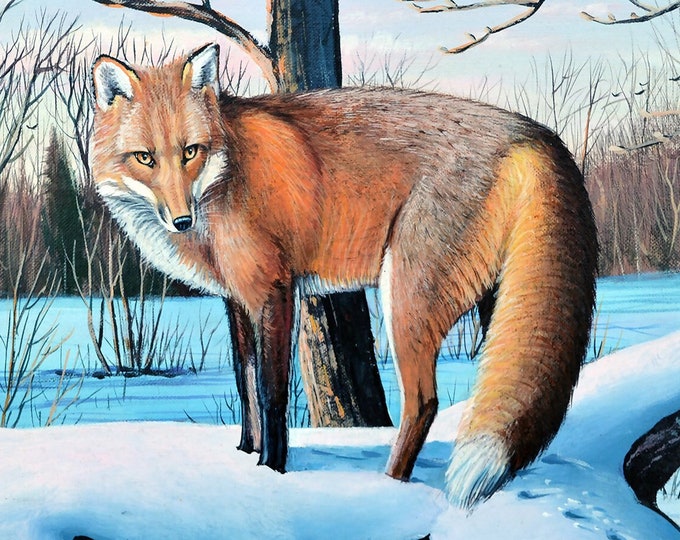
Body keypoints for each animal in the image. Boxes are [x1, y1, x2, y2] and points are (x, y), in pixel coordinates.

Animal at [90, 43, 597, 509]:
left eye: (190, 151)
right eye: (145, 158)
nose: (181, 220)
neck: (227, 170)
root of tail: (529, 130)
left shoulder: (273, 291)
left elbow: (271, 397)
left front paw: (271, 472)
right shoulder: (236, 300)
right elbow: (245, 387)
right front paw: (244, 457)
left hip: (407, 298)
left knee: (424, 402)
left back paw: (389, 488)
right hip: (498, 301)